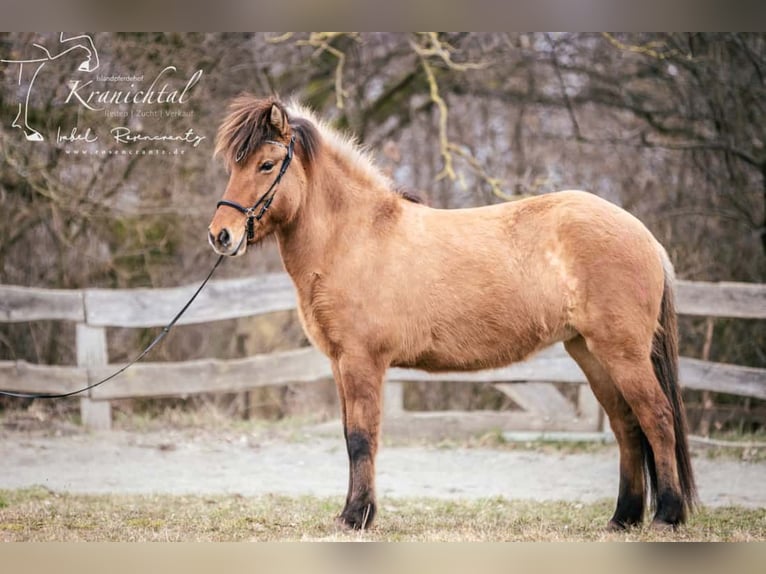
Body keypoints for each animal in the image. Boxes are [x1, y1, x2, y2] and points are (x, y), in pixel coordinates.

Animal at [207, 93, 700, 532]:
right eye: (233, 165)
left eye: (266, 164)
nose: (221, 235)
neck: (355, 237)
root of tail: (644, 235)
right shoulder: (340, 363)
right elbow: (350, 436)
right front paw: (352, 513)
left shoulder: (362, 362)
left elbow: (362, 439)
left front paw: (356, 517)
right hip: (591, 354)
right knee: (626, 426)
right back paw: (622, 518)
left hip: (622, 353)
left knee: (657, 419)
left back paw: (666, 516)